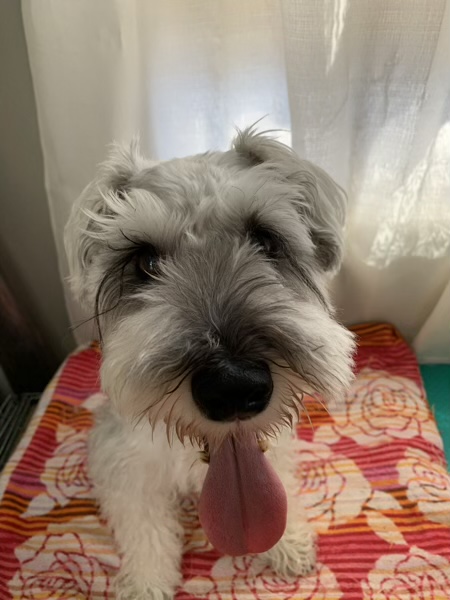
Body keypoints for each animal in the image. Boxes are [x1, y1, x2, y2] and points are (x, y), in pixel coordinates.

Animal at [65, 126, 355, 600]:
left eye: (266, 240)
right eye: (144, 261)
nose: (233, 386)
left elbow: (282, 487)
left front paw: (290, 542)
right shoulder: (126, 470)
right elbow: (145, 531)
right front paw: (146, 582)